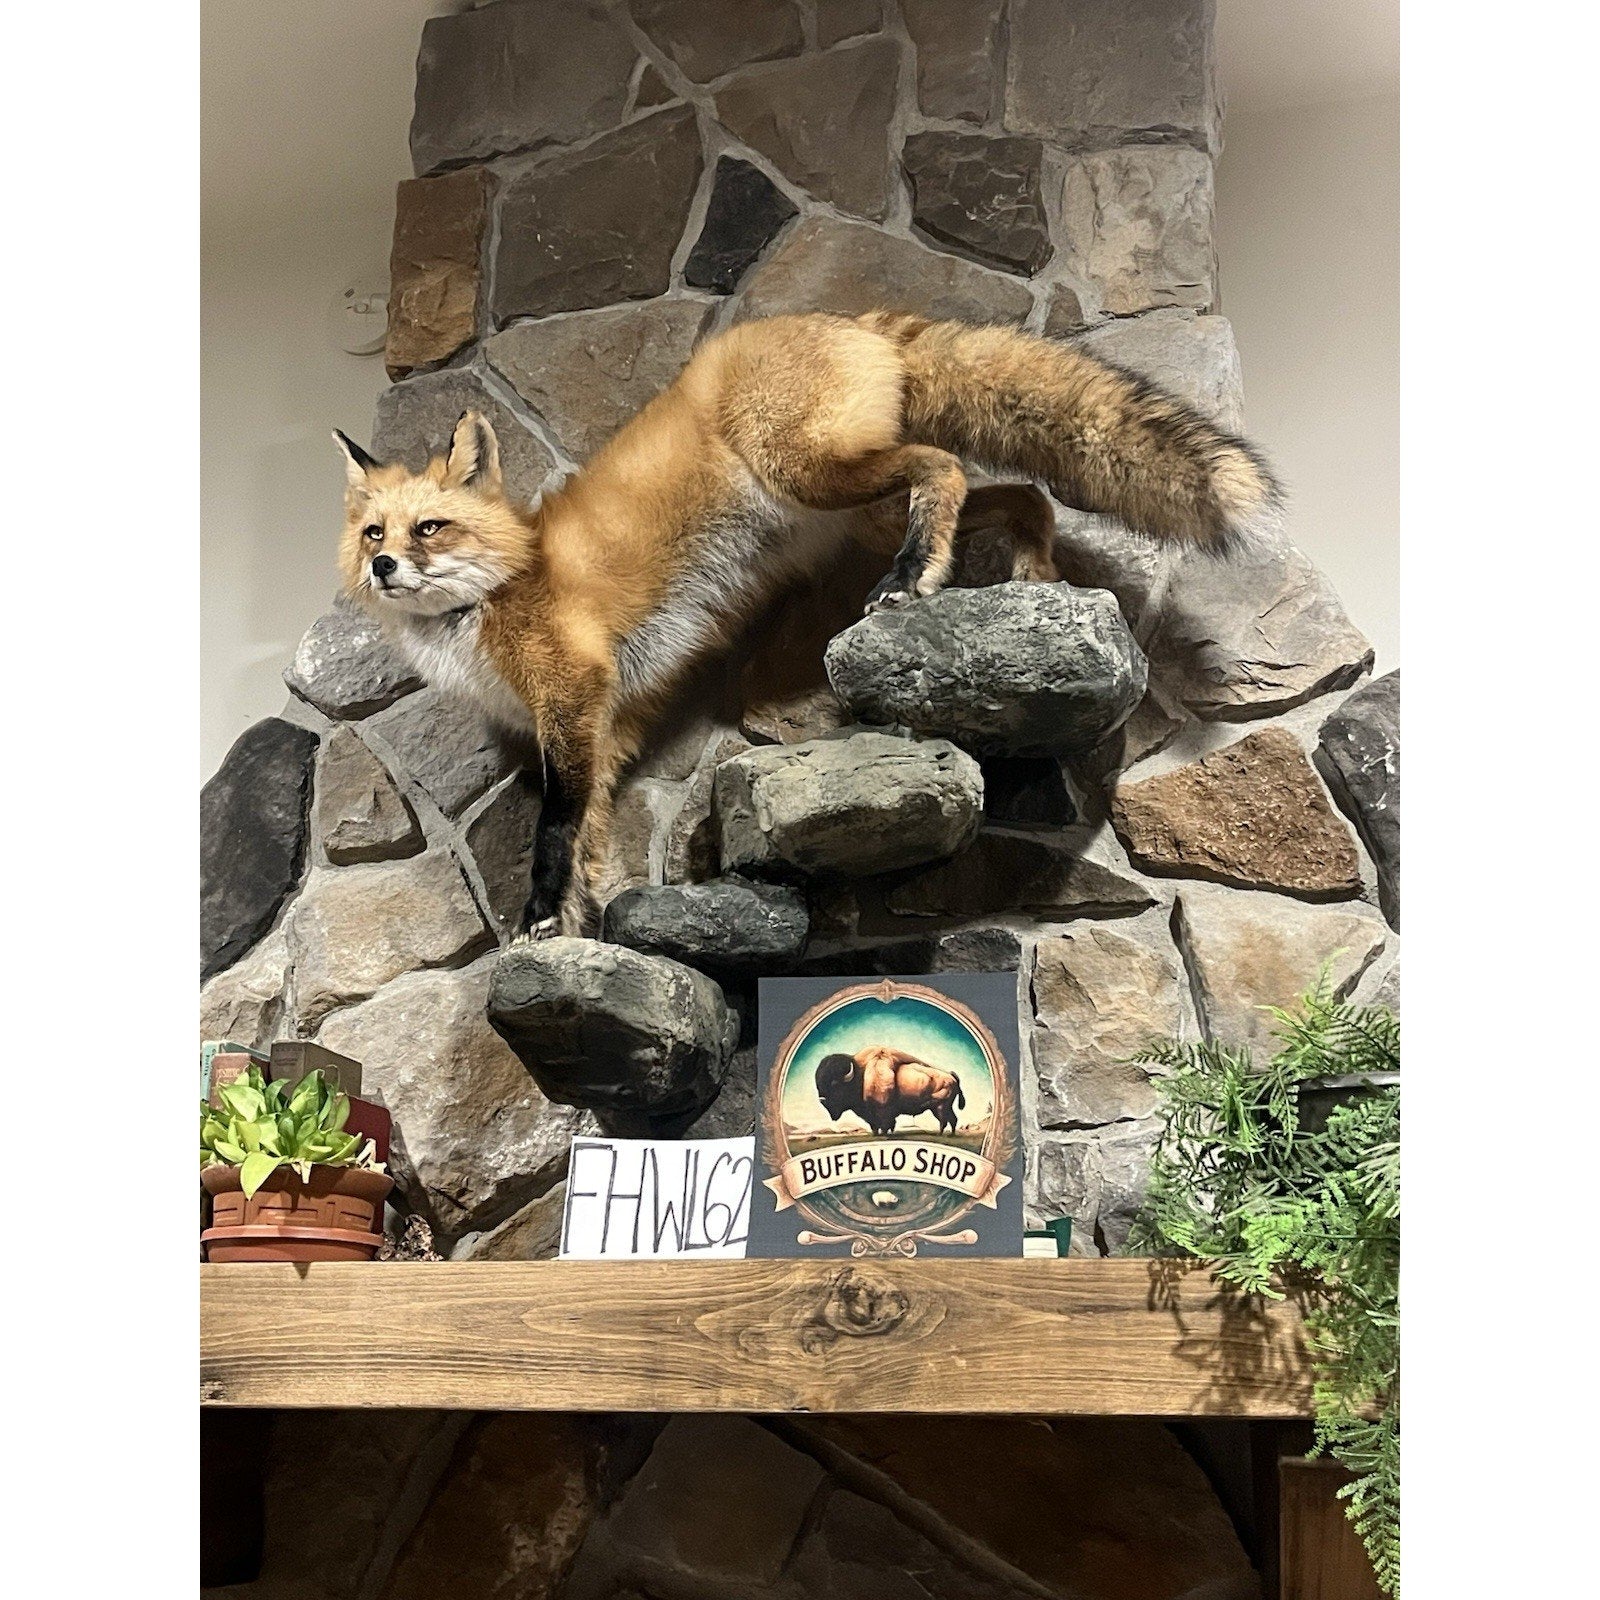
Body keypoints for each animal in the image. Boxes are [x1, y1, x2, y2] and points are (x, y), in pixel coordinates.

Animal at [334, 310, 1278, 939]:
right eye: (374, 533)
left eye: (430, 529)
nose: (383, 569)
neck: (490, 601)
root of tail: (844, 315)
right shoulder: (609, 724)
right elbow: (591, 834)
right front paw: (571, 932)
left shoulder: (572, 695)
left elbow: (555, 831)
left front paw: (538, 918)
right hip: (857, 503)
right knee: (1018, 494)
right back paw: (1028, 578)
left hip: (813, 472)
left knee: (945, 466)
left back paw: (915, 578)